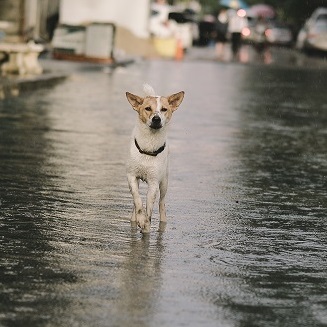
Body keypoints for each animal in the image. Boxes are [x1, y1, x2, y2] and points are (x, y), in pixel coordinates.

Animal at [127, 84, 186, 233]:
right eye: (148, 108)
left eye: (164, 109)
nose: (156, 119)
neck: (148, 146)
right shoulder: (131, 176)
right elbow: (137, 200)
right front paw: (140, 218)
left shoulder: (153, 183)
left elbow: (149, 208)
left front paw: (146, 225)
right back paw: (134, 218)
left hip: (164, 182)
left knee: (161, 202)